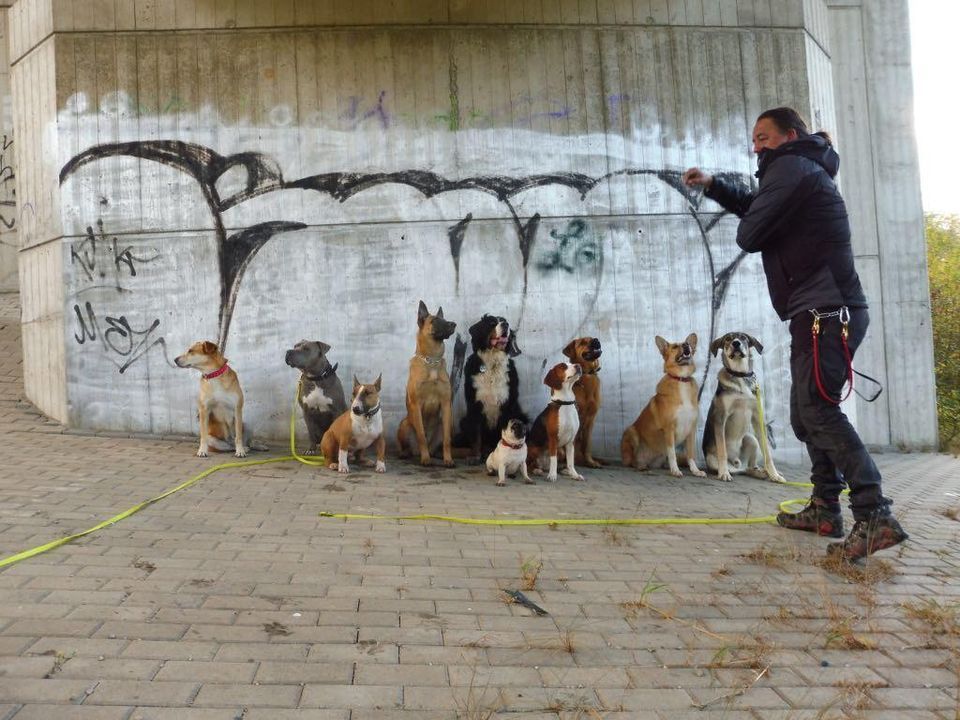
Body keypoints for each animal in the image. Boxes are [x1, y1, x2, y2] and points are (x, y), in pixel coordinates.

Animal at [456, 316, 528, 462]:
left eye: (505, 321)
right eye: (491, 323)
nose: (506, 324)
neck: (493, 362)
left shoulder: (507, 405)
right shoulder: (475, 405)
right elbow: (476, 435)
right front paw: (475, 456)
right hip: (464, 421)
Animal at [564, 336, 600, 466]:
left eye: (593, 338)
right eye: (582, 342)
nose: (596, 340)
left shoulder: (591, 419)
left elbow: (587, 444)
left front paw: (591, 462)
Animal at [620, 334, 708, 478]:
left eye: (687, 343)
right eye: (675, 346)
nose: (686, 345)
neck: (681, 379)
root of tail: (648, 461)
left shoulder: (691, 430)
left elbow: (691, 454)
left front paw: (695, 470)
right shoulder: (669, 429)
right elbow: (672, 453)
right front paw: (675, 470)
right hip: (631, 431)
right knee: (633, 461)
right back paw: (641, 466)